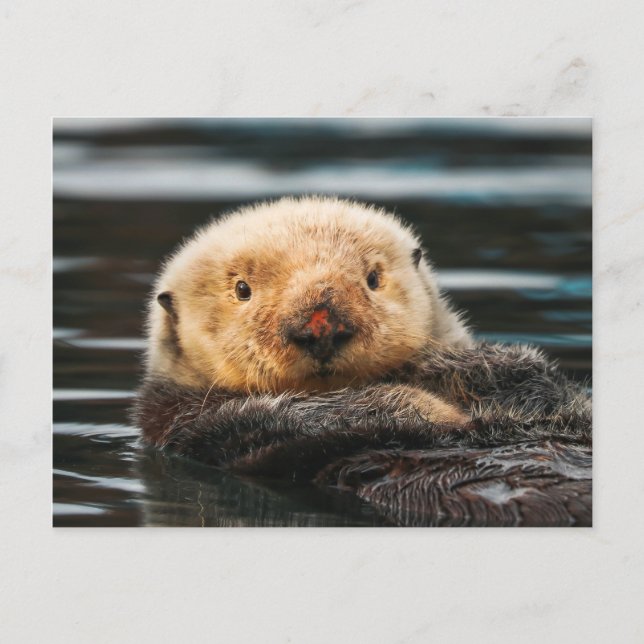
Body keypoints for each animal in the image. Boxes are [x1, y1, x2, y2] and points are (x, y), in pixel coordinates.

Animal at [133, 196, 591, 527]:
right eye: (242, 289)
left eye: (373, 278)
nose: (321, 327)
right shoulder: (203, 429)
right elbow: (309, 418)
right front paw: (435, 409)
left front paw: (472, 368)